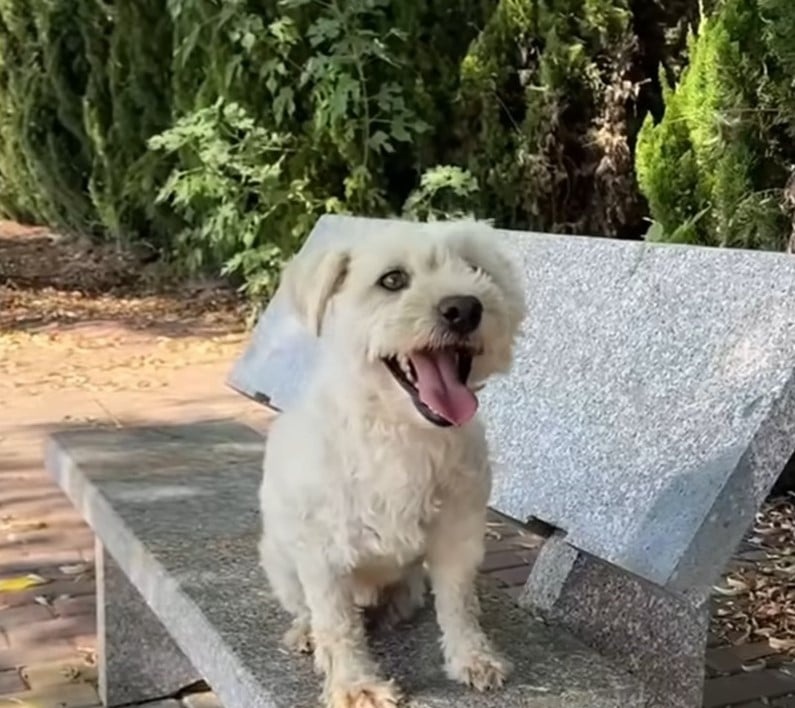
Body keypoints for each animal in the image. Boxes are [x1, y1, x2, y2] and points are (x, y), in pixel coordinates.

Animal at [258, 223, 524, 708]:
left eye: (474, 268)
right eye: (392, 280)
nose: (463, 308)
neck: (401, 432)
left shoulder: (457, 534)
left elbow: (458, 602)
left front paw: (472, 657)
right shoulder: (322, 554)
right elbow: (337, 623)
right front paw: (354, 684)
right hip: (281, 561)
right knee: (311, 610)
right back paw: (307, 633)